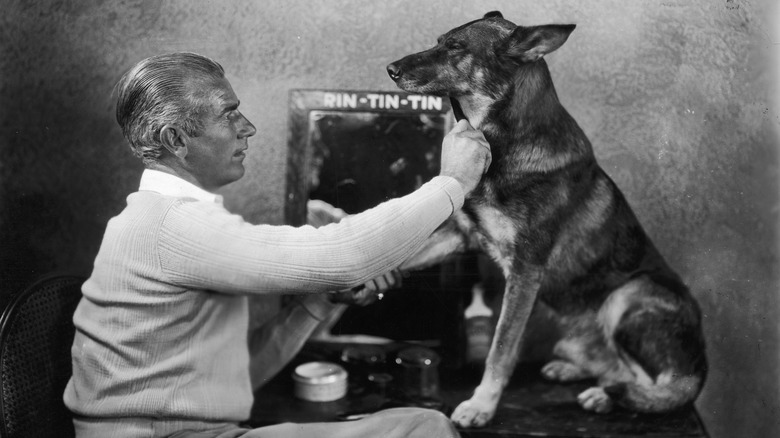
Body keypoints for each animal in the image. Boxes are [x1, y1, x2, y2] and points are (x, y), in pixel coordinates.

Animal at [388, 12, 708, 430]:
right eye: (439, 40)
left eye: (456, 47)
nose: (391, 69)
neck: (505, 141)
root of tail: (702, 367)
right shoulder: (460, 234)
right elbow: (404, 255)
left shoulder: (526, 270)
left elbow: (501, 348)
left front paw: (481, 404)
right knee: (614, 367)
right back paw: (581, 373)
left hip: (629, 294)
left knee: (666, 383)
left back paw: (608, 396)